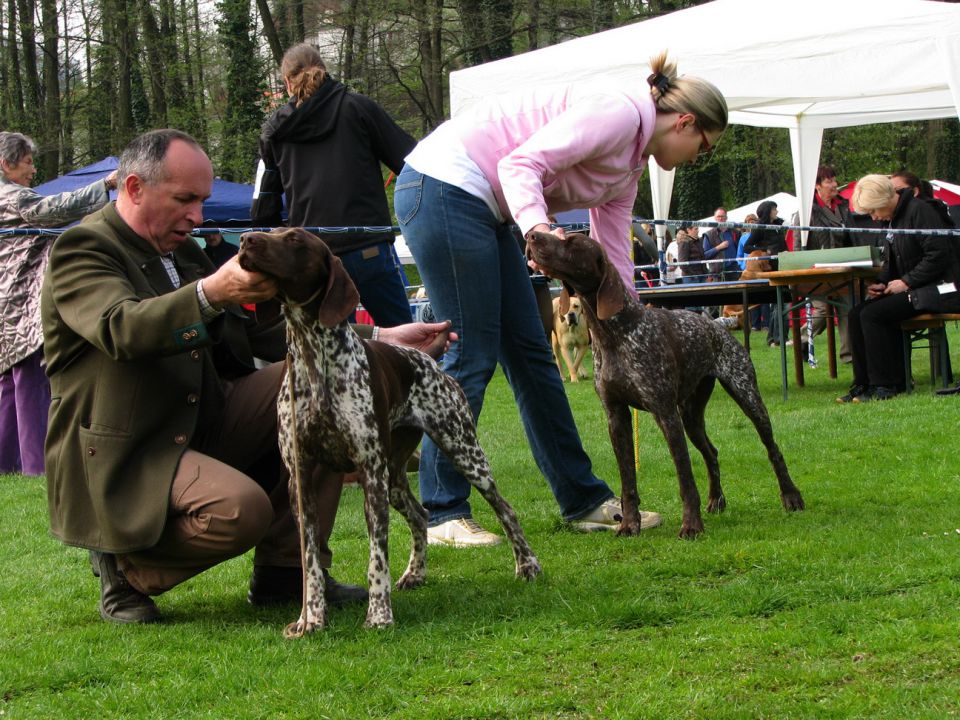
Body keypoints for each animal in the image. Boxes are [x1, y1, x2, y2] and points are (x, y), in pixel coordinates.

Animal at [237, 226, 544, 636]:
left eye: (296, 239)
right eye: (272, 231)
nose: (245, 240)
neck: (314, 357)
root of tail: (428, 359)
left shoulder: (369, 474)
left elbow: (376, 558)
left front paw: (379, 615)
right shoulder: (301, 480)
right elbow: (309, 561)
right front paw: (310, 618)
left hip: (461, 452)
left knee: (505, 509)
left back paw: (527, 565)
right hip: (395, 475)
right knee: (420, 515)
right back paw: (415, 573)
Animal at [524, 233, 804, 536]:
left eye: (573, 243)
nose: (530, 236)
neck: (614, 334)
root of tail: (716, 325)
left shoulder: (665, 414)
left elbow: (685, 477)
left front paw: (691, 525)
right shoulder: (616, 416)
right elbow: (628, 482)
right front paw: (629, 524)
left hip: (746, 396)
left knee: (772, 449)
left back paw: (791, 497)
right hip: (691, 416)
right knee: (711, 453)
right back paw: (716, 499)